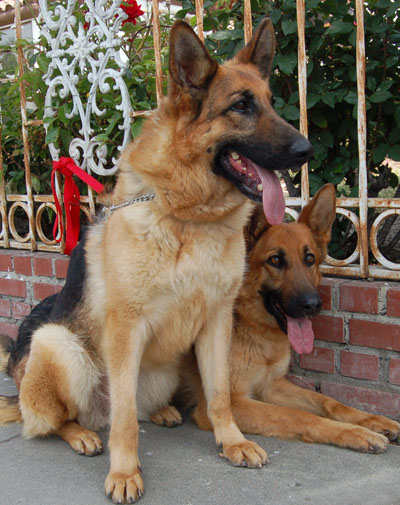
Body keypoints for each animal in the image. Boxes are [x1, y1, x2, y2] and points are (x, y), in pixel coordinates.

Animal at [0, 17, 312, 502]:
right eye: (241, 106)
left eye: (270, 104)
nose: (306, 150)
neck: (189, 216)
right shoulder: (127, 329)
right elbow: (125, 419)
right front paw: (125, 472)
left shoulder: (217, 322)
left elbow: (220, 395)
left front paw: (232, 441)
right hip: (57, 343)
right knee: (65, 420)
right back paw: (83, 434)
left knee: (133, 410)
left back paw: (162, 412)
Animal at [188, 185, 400, 452]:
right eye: (275, 260)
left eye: (309, 259)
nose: (313, 305)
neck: (257, 330)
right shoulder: (232, 401)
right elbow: (300, 416)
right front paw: (356, 432)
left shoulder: (271, 386)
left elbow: (327, 401)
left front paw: (373, 420)